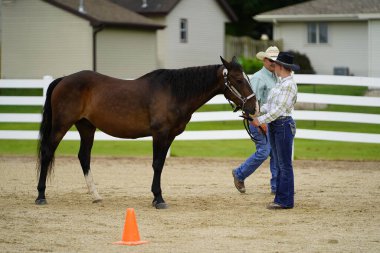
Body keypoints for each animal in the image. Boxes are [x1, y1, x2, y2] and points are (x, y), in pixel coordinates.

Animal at [35, 56, 256, 209]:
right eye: (238, 79)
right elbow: (157, 164)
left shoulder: (169, 136)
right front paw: (158, 199)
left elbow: (161, 164)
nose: (253, 107)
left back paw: (96, 196)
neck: (174, 92)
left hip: (86, 127)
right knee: (47, 153)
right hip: (61, 125)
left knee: (84, 157)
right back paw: (41, 196)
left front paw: (156, 197)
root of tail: (63, 79)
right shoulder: (160, 134)